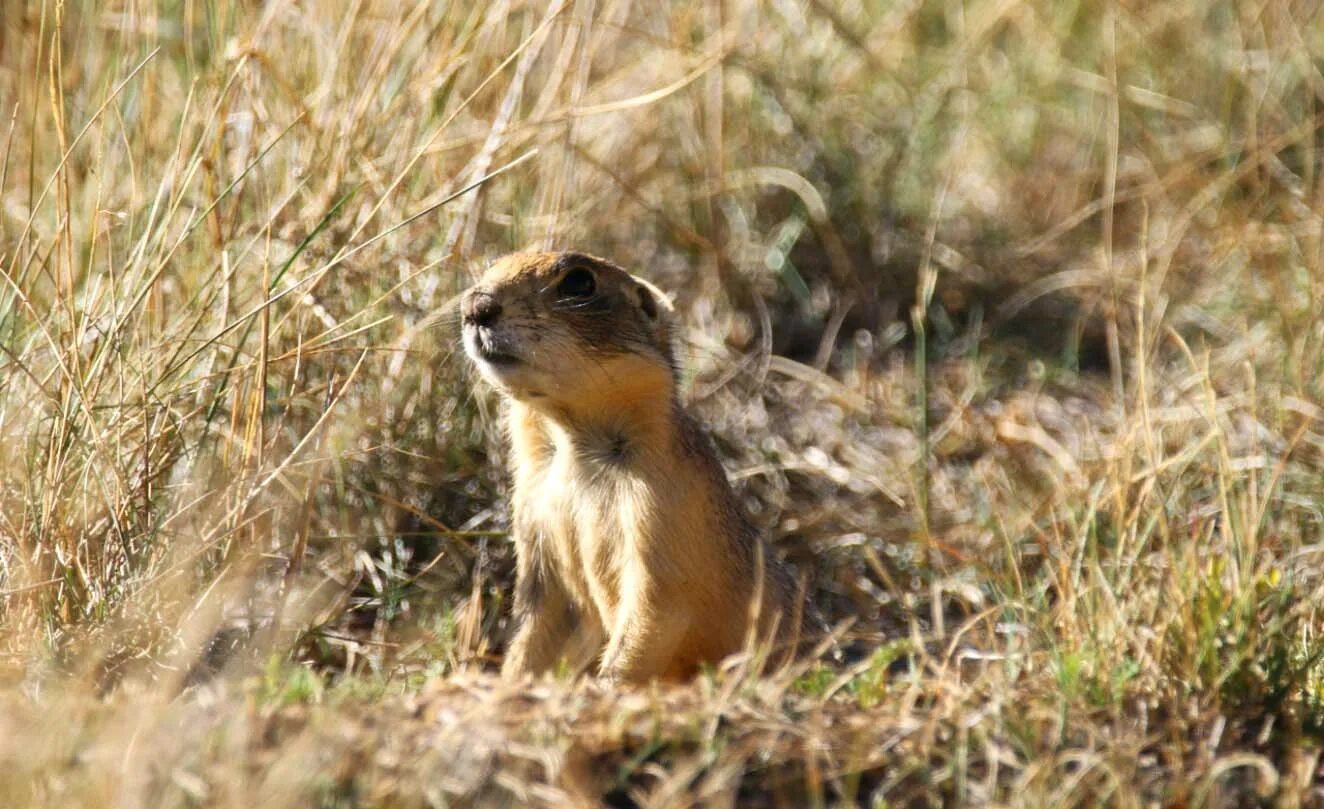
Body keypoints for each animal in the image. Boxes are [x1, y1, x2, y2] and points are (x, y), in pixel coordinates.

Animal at [466, 250, 804, 677]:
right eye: (493, 266)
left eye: (579, 282)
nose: (475, 307)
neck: (574, 444)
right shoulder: (535, 519)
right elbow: (539, 628)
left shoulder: (663, 510)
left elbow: (654, 611)